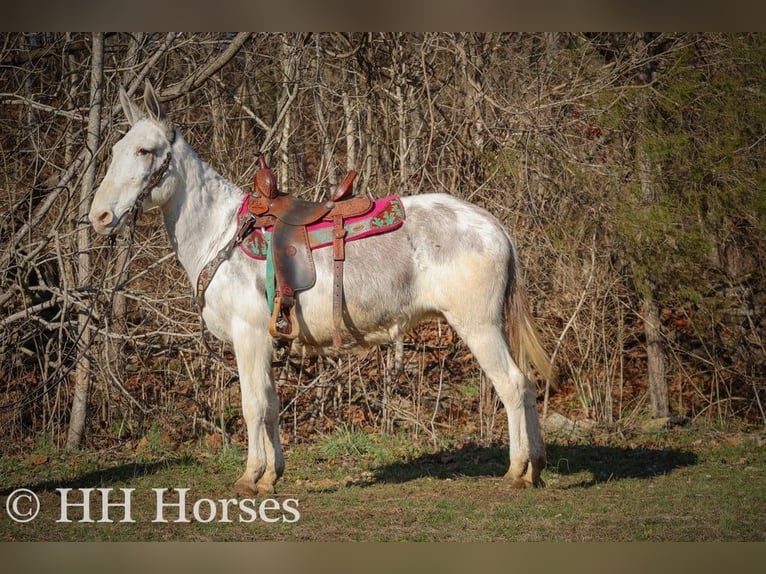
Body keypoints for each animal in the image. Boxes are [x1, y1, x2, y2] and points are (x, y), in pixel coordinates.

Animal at [89, 81, 554, 495]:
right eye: (115, 151)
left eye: (144, 151)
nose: (99, 216)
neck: (221, 233)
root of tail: (495, 227)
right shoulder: (266, 341)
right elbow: (271, 405)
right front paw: (270, 477)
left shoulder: (248, 335)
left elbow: (252, 405)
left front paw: (249, 477)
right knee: (528, 386)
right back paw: (535, 469)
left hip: (478, 326)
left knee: (512, 385)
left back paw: (516, 471)